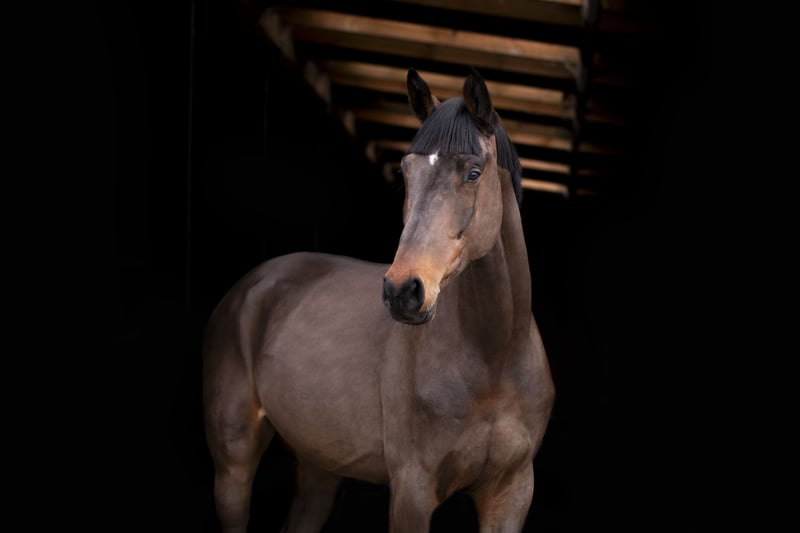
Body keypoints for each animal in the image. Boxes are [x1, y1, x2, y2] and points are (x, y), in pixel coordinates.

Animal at [202, 67, 555, 532]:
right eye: (406, 171)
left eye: (474, 173)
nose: (402, 291)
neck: (494, 357)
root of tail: (250, 287)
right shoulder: (412, 490)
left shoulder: (512, 493)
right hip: (234, 465)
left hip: (319, 466)